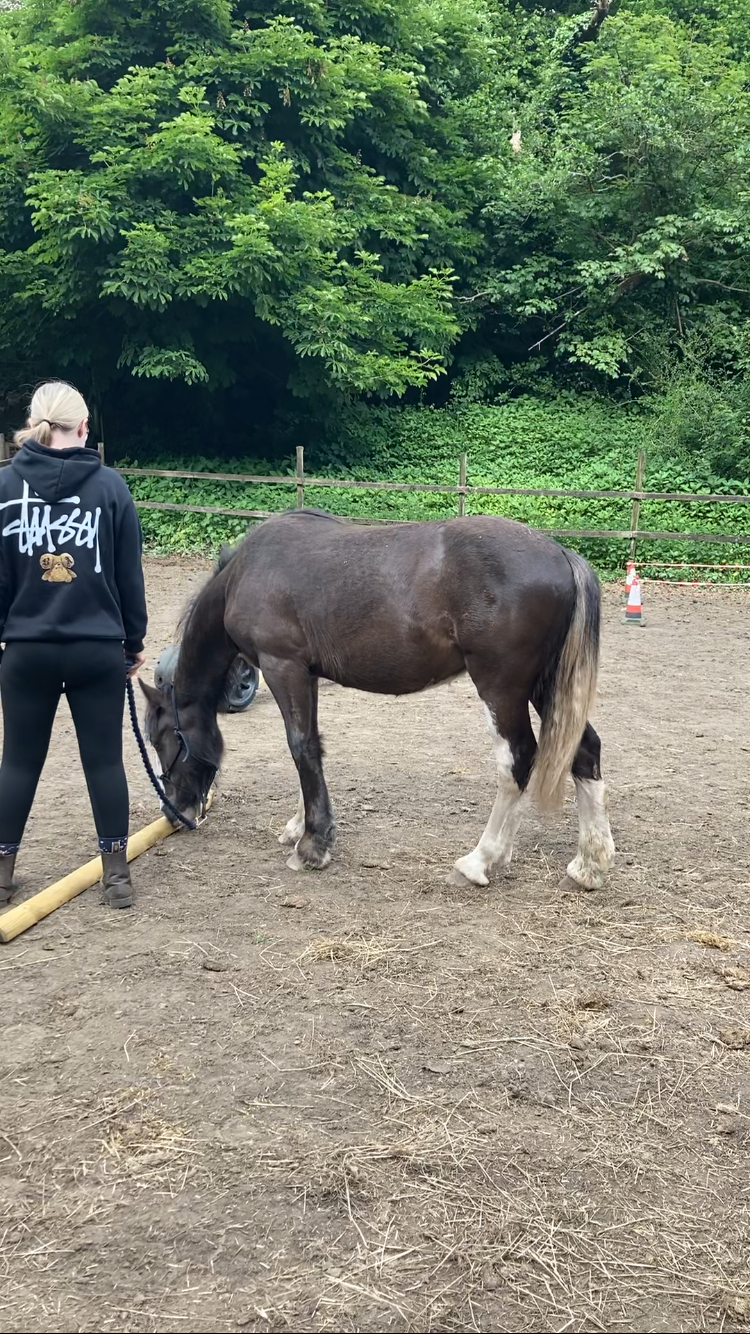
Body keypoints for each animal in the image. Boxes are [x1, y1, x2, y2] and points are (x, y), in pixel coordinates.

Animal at [139, 509, 615, 891]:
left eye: (162, 740)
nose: (175, 813)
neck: (247, 572)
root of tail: (561, 554)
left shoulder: (282, 667)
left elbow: (300, 747)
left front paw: (313, 846)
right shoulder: (305, 675)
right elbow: (311, 748)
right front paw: (300, 826)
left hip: (503, 689)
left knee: (517, 760)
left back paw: (479, 861)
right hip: (546, 687)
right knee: (584, 750)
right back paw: (588, 865)